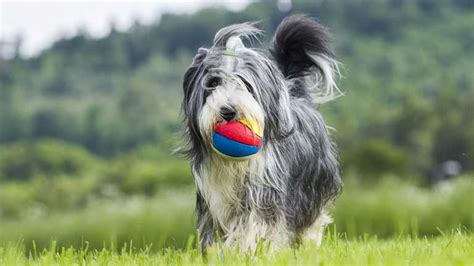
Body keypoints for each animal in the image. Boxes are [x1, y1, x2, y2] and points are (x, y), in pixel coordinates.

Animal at [181, 14, 340, 251]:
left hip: (313, 184)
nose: (228, 111)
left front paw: (248, 249)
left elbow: (255, 222)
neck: (234, 165)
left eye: (246, 84)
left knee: (311, 219)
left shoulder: (264, 188)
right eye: (213, 82)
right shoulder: (214, 195)